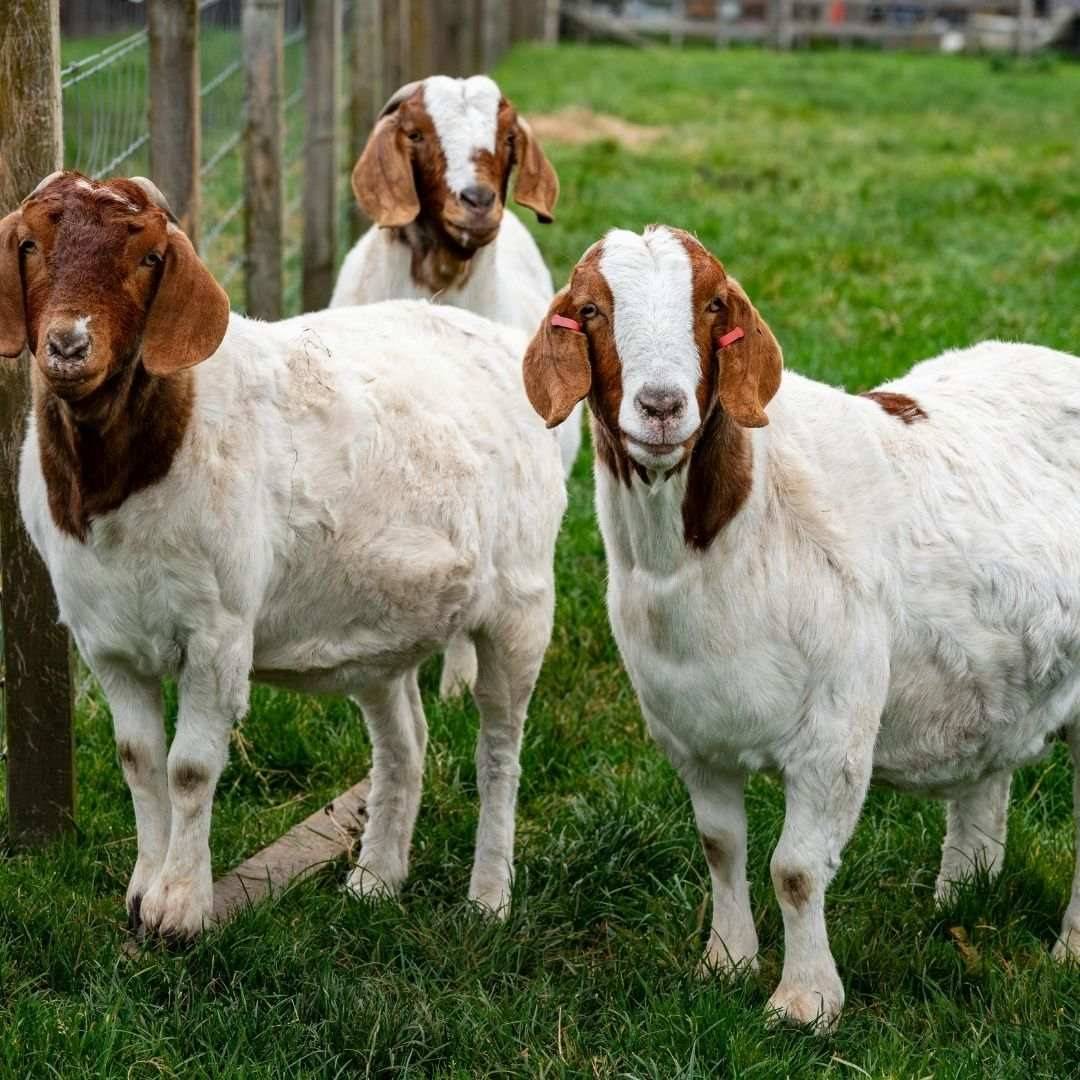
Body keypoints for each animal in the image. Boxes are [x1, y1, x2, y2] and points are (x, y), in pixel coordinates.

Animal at [1, 172, 565, 940]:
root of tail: (503, 342)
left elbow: (189, 768)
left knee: (500, 751)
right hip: (381, 621)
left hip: (521, 603)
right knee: (404, 742)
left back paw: (488, 899)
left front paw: (179, 910)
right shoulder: (106, 640)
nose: (67, 345)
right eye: (29, 244)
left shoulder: (217, 631)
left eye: (149, 258)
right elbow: (139, 762)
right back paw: (375, 879)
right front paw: (141, 894)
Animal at [523, 224, 1080, 1031]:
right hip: (995, 671)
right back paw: (960, 900)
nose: (661, 406)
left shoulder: (834, 730)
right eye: (591, 309)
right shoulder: (689, 728)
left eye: (713, 304)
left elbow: (793, 870)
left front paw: (804, 1002)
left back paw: (1068, 949)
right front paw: (725, 963)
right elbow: (720, 846)